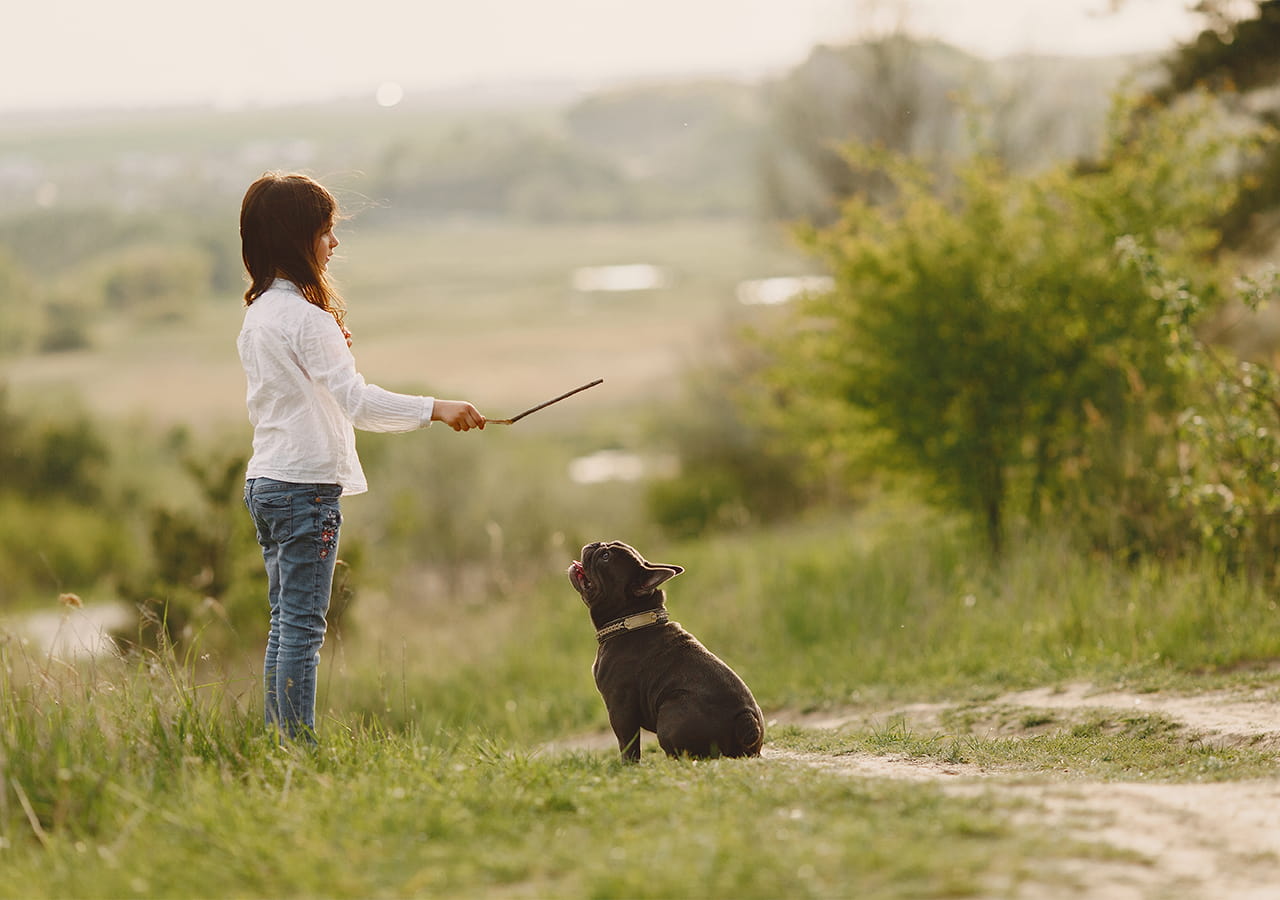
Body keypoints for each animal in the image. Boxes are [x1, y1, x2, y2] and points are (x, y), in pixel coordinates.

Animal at [568, 542, 762, 757]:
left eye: (605, 556)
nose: (596, 544)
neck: (631, 620)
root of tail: (746, 720)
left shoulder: (620, 708)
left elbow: (628, 745)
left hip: (671, 710)